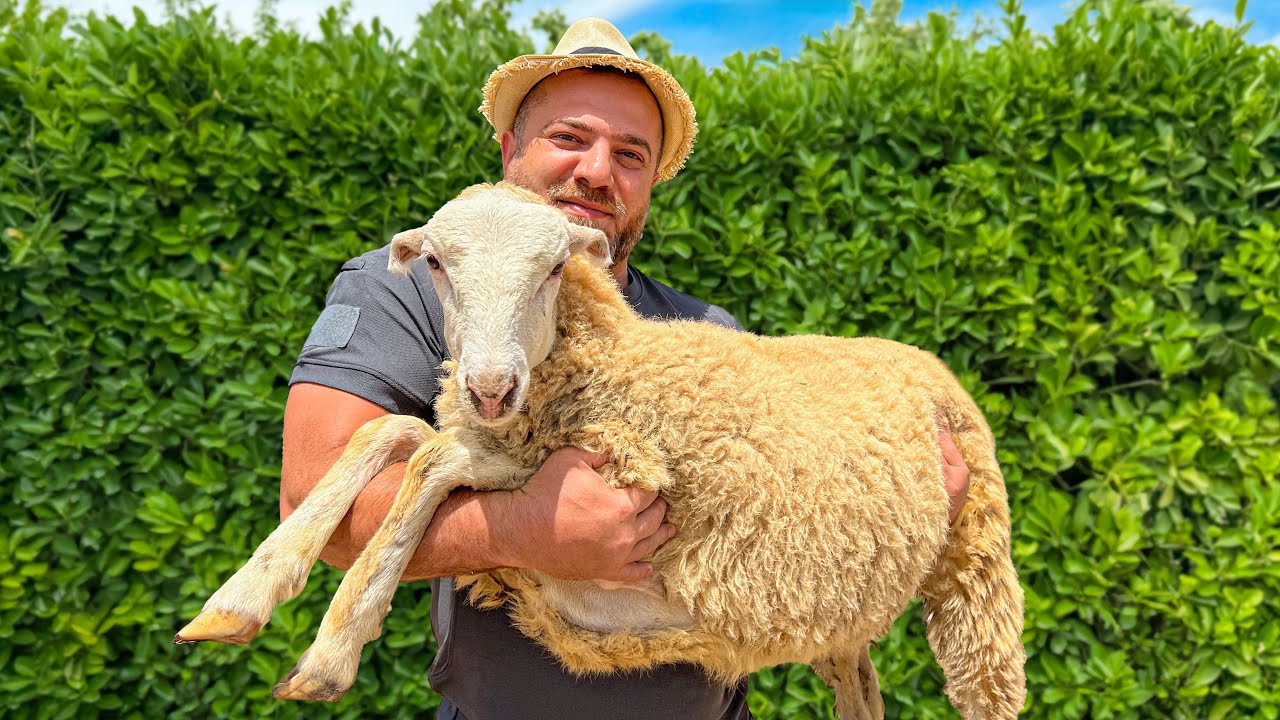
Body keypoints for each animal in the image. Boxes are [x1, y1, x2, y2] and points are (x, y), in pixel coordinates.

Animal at [175, 180, 1024, 717]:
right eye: (438, 265)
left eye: (554, 267)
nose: (490, 386)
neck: (605, 361)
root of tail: (923, 358)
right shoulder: (500, 451)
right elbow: (383, 432)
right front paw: (238, 599)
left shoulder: (592, 462)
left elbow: (426, 461)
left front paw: (329, 652)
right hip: (832, 615)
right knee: (861, 687)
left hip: (977, 570)